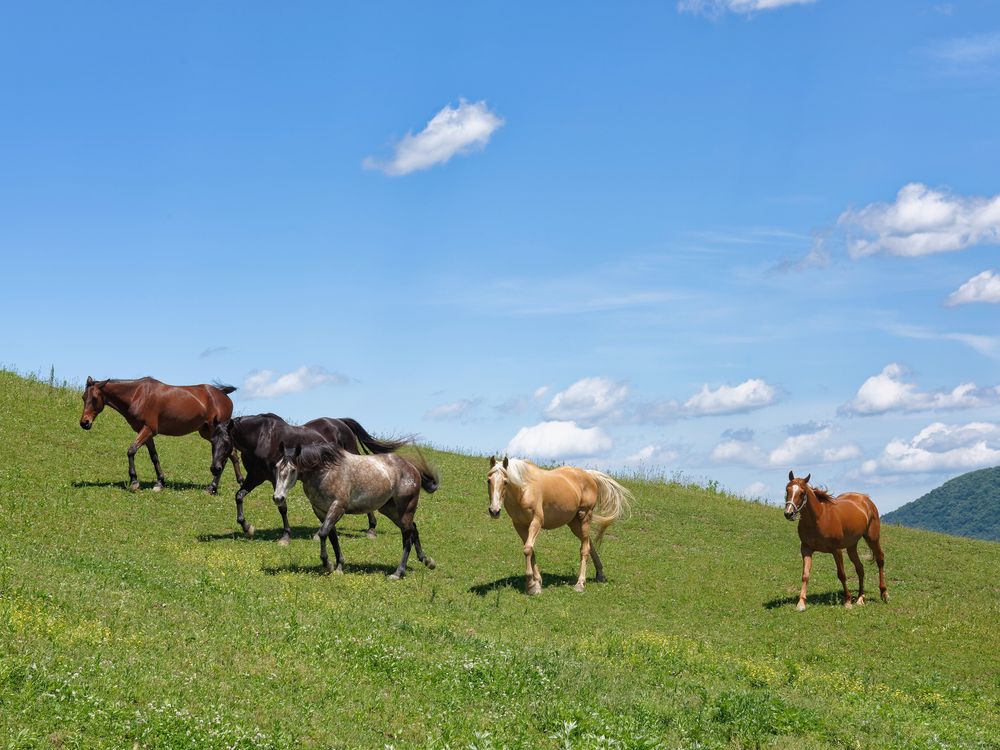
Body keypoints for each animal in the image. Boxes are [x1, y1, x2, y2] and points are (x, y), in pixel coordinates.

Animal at [79, 376, 241, 494]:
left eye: (94, 398)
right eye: (83, 397)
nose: (84, 423)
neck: (138, 395)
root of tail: (222, 394)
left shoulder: (148, 429)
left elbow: (131, 450)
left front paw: (134, 482)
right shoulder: (146, 433)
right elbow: (154, 457)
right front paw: (160, 483)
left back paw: (212, 487)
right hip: (206, 432)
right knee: (232, 453)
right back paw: (239, 480)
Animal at [208, 412, 406, 548]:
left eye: (226, 442)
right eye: (212, 441)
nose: (215, 468)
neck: (262, 438)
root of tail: (341, 423)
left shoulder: (275, 479)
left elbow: (282, 507)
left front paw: (285, 536)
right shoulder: (255, 477)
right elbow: (239, 496)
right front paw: (247, 527)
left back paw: (371, 529)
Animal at [270, 444, 438, 580]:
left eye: (292, 470)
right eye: (277, 467)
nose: (278, 498)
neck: (325, 470)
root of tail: (412, 468)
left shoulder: (338, 507)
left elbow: (323, 533)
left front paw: (328, 564)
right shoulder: (322, 511)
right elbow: (333, 538)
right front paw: (338, 567)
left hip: (405, 509)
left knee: (407, 537)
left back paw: (398, 573)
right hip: (390, 510)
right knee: (413, 529)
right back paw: (427, 561)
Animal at [484, 456, 632, 596]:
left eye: (505, 481)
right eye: (489, 480)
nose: (494, 511)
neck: (524, 490)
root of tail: (588, 475)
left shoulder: (536, 521)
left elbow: (527, 549)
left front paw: (531, 585)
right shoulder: (519, 525)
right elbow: (531, 550)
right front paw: (537, 583)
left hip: (584, 517)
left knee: (584, 549)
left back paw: (580, 583)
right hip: (574, 523)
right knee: (589, 543)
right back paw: (600, 574)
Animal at [780, 472, 892, 612]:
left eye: (802, 492)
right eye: (787, 490)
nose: (789, 513)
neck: (819, 517)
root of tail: (866, 499)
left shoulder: (836, 550)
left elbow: (842, 574)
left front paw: (847, 601)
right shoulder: (806, 549)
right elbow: (805, 574)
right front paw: (801, 603)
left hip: (872, 538)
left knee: (880, 559)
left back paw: (884, 594)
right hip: (851, 546)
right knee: (860, 568)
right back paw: (860, 598)